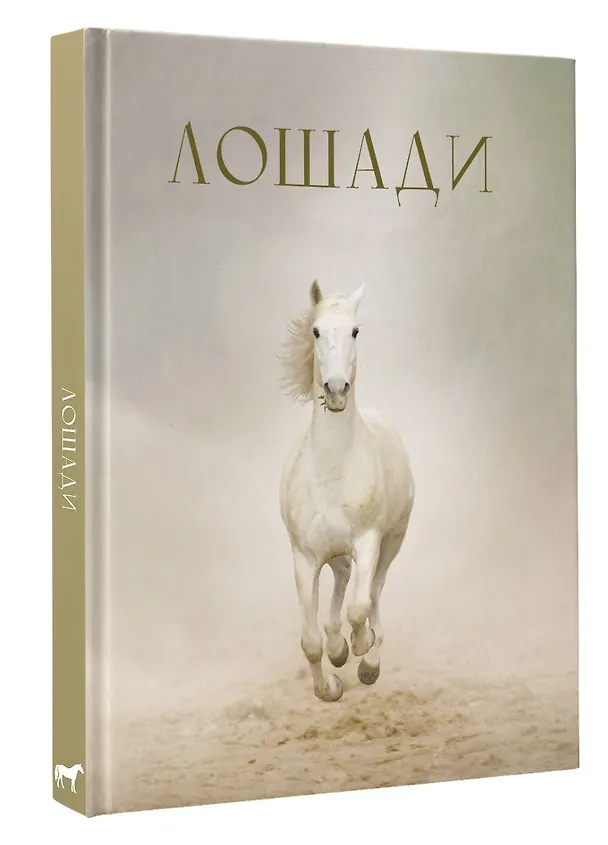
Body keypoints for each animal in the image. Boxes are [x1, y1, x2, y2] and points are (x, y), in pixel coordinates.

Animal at [279, 281, 415, 702]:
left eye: (355, 331)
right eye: (315, 331)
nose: (336, 389)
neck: (331, 471)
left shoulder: (368, 541)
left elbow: (359, 608)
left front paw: (362, 652)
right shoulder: (304, 557)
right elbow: (310, 641)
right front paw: (330, 684)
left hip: (392, 542)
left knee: (374, 590)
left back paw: (368, 655)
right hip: (335, 553)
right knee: (341, 580)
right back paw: (339, 647)